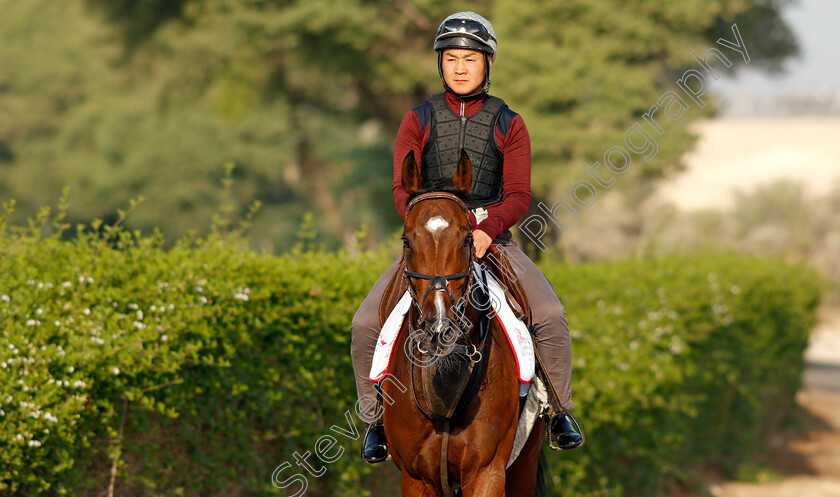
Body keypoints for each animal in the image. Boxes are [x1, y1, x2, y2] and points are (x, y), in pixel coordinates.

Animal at [378, 149, 548, 494]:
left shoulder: (486, 472)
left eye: (468, 239)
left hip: (524, 463)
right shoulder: (416, 478)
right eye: (406, 241)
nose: (439, 330)